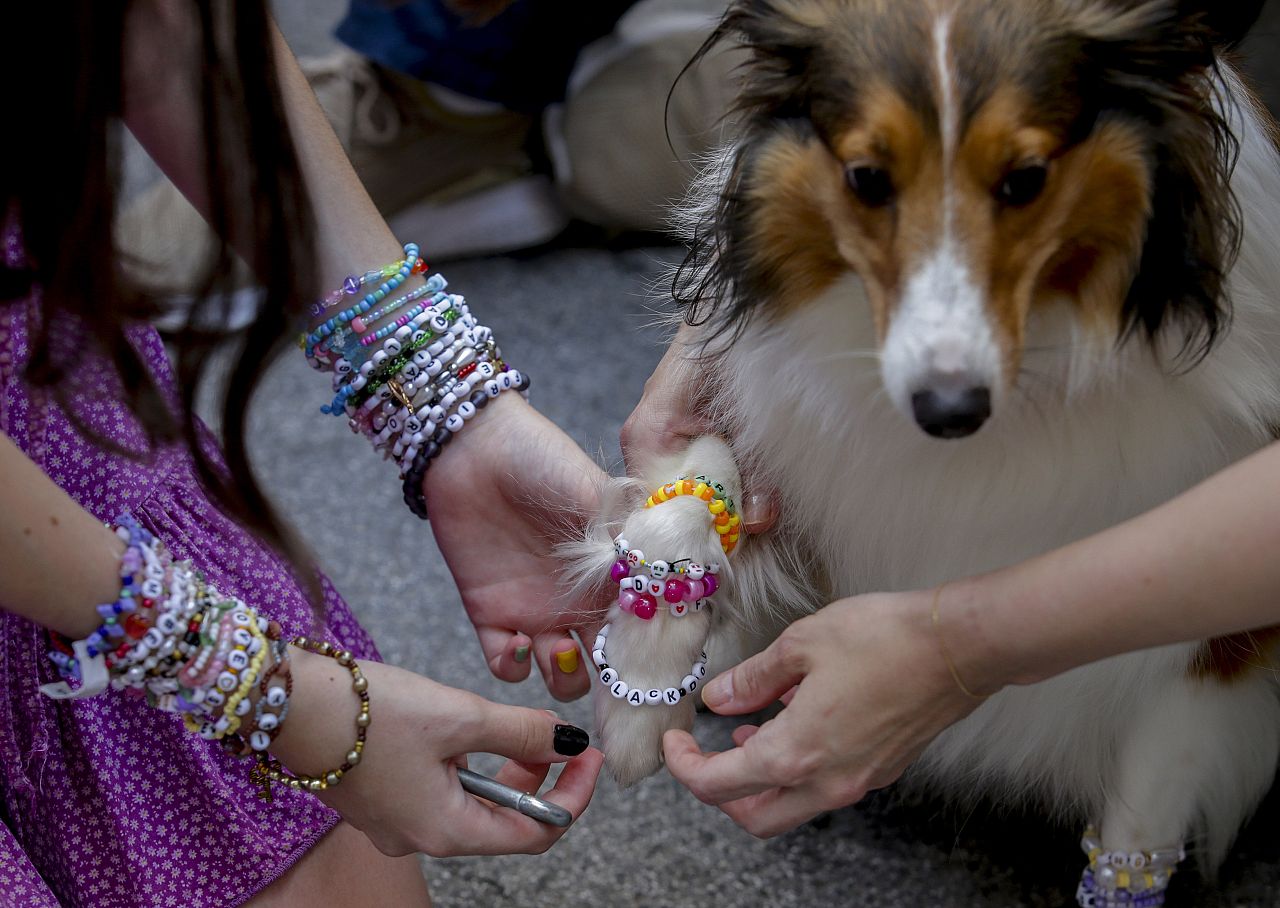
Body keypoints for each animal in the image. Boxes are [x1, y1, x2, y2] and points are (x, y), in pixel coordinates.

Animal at [565, 0, 1280, 901]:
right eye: (868, 179)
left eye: (1026, 179)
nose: (948, 411)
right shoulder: (781, 412)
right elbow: (694, 485)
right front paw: (643, 694)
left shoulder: (1210, 662)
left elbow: (1136, 831)